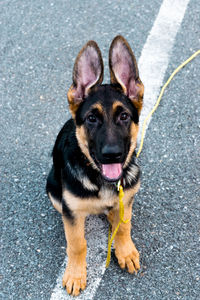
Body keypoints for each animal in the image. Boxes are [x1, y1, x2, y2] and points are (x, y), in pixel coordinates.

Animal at [46, 35, 144, 296]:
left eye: (124, 116)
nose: (112, 155)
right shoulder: (71, 212)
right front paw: (75, 274)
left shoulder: (126, 197)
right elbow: (77, 243)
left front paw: (125, 251)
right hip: (53, 189)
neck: (100, 181)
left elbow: (124, 226)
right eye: (91, 118)